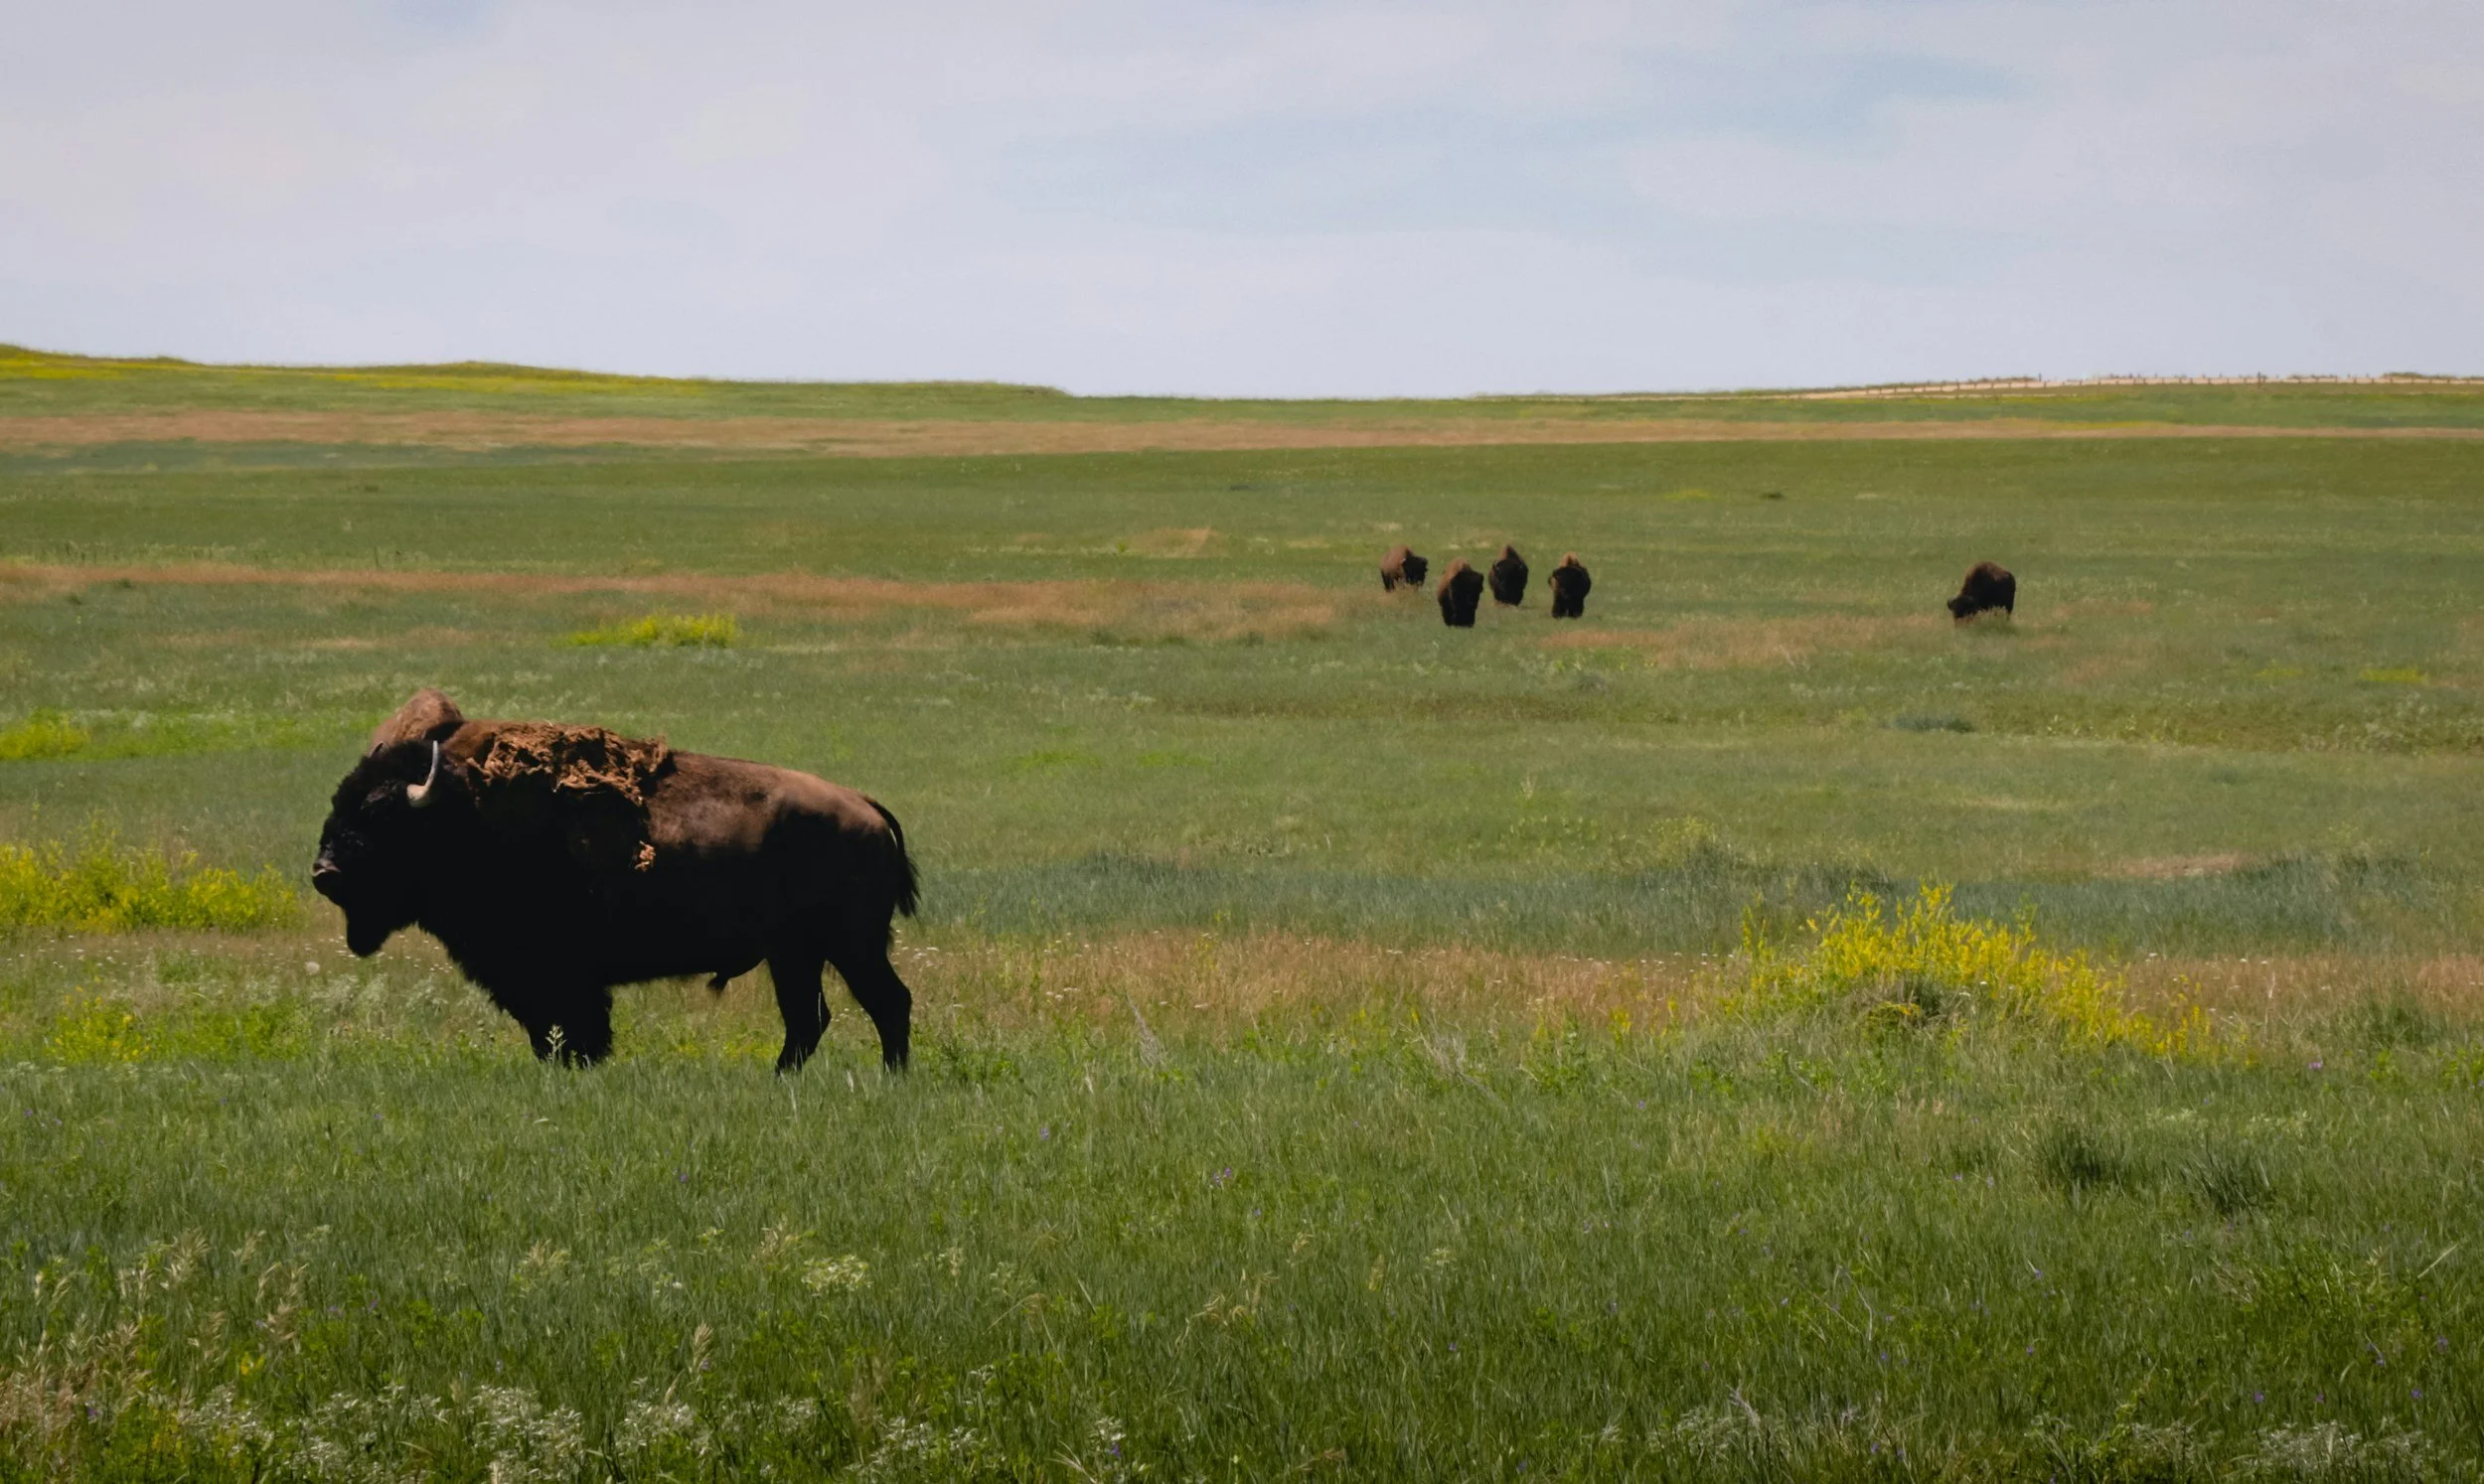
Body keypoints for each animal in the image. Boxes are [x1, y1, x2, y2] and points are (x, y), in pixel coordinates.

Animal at [312, 689, 919, 1072]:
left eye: (384, 816)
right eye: (338, 804)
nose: (325, 872)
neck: (464, 810)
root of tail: (866, 808)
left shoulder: (556, 977)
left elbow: (570, 1032)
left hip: (848, 945)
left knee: (887, 1003)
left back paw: (890, 1079)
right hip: (796, 952)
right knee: (809, 1019)